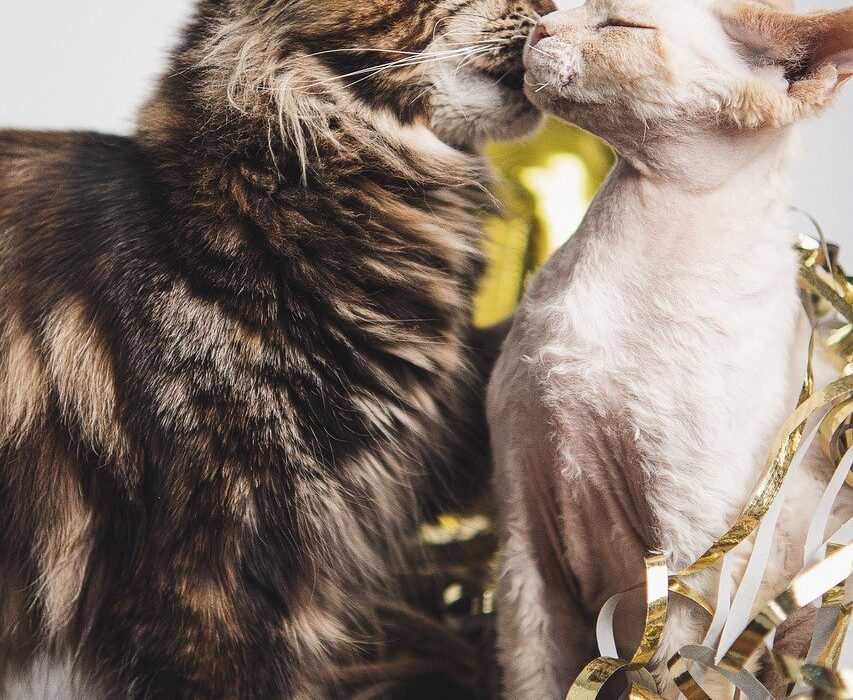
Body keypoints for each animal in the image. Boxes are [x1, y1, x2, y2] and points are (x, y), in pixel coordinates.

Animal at [486, 0, 852, 696]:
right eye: (570, 7)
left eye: (622, 27)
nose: (540, 26)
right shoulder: (526, 545)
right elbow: (534, 676)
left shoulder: (692, 561)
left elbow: (668, 671)